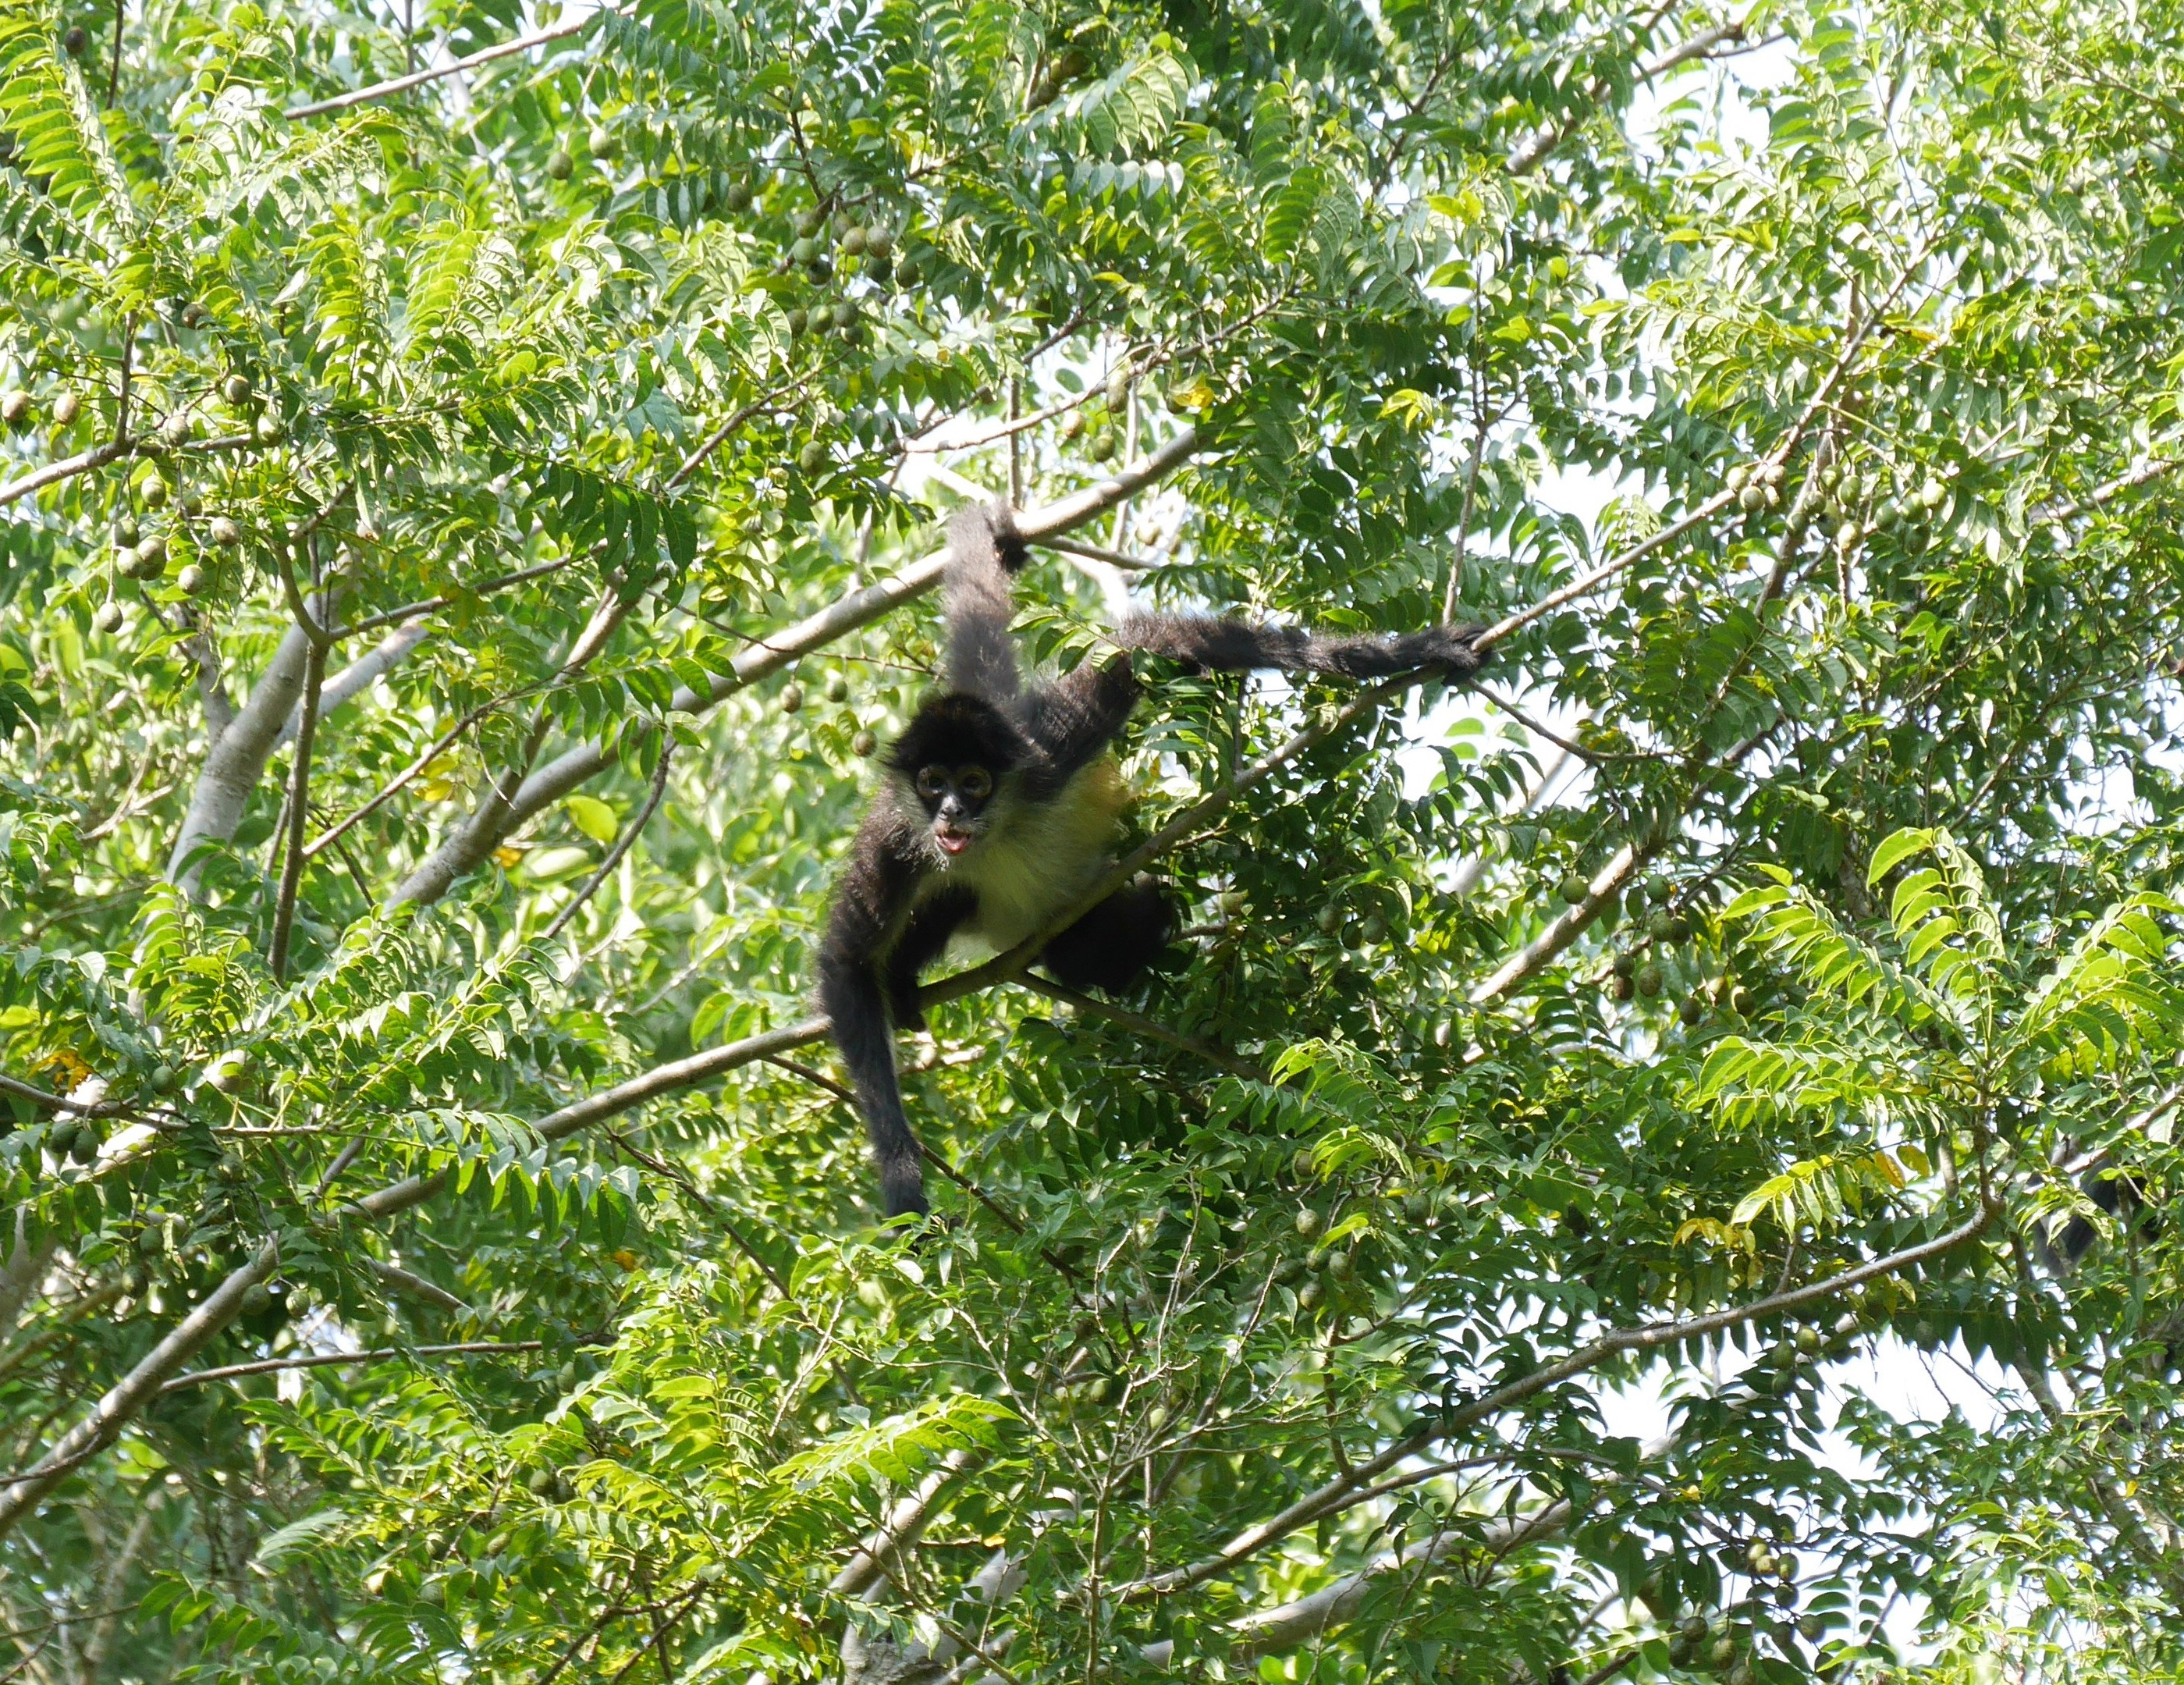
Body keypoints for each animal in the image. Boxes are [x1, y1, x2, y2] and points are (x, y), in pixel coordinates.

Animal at [817, 503, 1487, 1218]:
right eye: (931, 782)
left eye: (972, 782)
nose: (948, 814)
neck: (997, 829)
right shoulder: (895, 835)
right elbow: (847, 963)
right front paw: (901, 1178)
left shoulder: (1047, 756)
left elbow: (1155, 644)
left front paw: (1406, 651)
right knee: (965, 904)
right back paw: (907, 979)